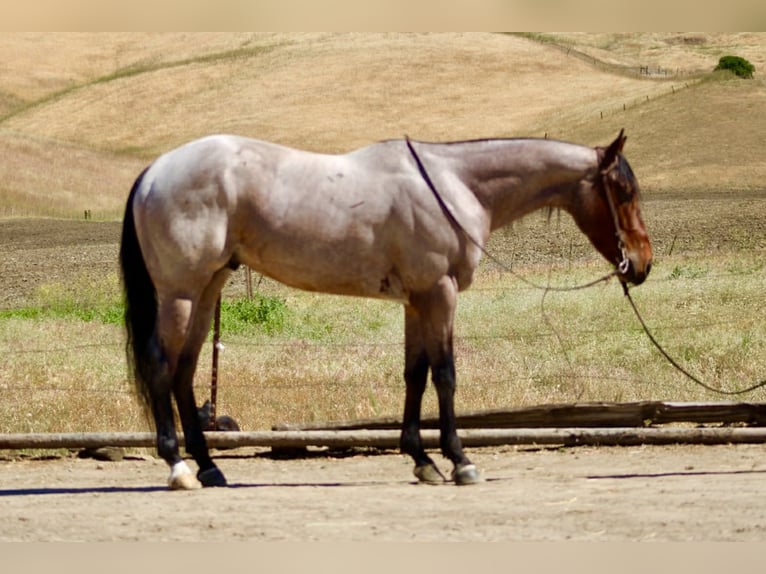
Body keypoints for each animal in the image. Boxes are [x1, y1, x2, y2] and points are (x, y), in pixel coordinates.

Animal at [120, 130, 652, 490]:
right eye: (624, 192)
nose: (642, 263)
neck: (454, 184)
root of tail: (154, 172)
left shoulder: (416, 301)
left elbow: (414, 375)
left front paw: (422, 461)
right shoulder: (440, 294)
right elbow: (445, 375)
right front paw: (460, 461)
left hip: (208, 289)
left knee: (185, 372)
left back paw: (210, 467)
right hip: (181, 294)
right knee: (163, 368)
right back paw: (179, 467)